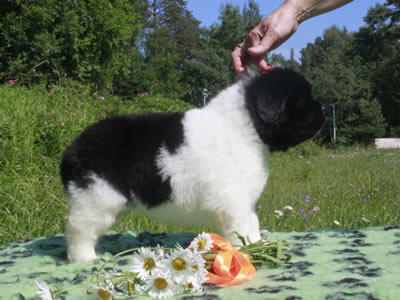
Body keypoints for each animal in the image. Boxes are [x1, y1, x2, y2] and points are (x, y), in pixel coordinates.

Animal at [61, 68, 324, 262]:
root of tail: (72, 148)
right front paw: (245, 253)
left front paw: (258, 244)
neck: (244, 126)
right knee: (79, 228)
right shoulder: (232, 202)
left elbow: (252, 224)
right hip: (96, 196)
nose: (322, 108)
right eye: (303, 101)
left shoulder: (244, 202)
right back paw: (84, 258)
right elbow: (239, 230)